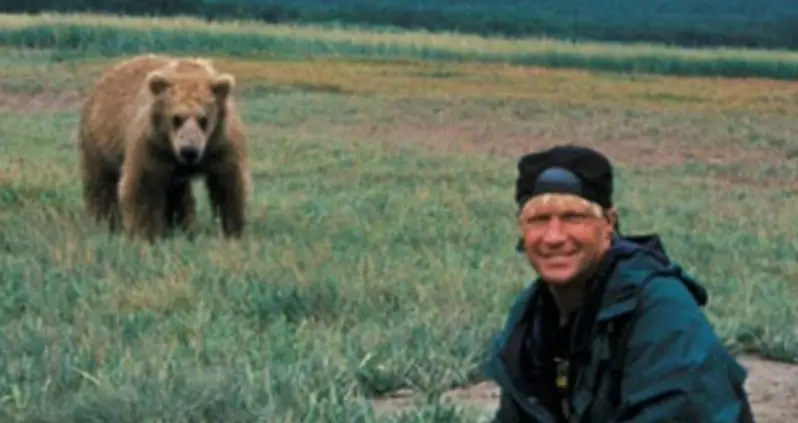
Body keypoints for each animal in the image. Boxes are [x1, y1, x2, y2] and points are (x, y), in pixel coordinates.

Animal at [76, 53, 252, 242]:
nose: (189, 151)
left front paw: (232, 230)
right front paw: (146, 233)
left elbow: (228, 184)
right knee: (101, 183)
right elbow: (144, 186)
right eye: (176, 118)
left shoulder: (221, 144)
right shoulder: (152, 145)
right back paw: (105, 221)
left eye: (203, 119)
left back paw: (182, 225)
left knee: (178, 194)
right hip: (99, 141)